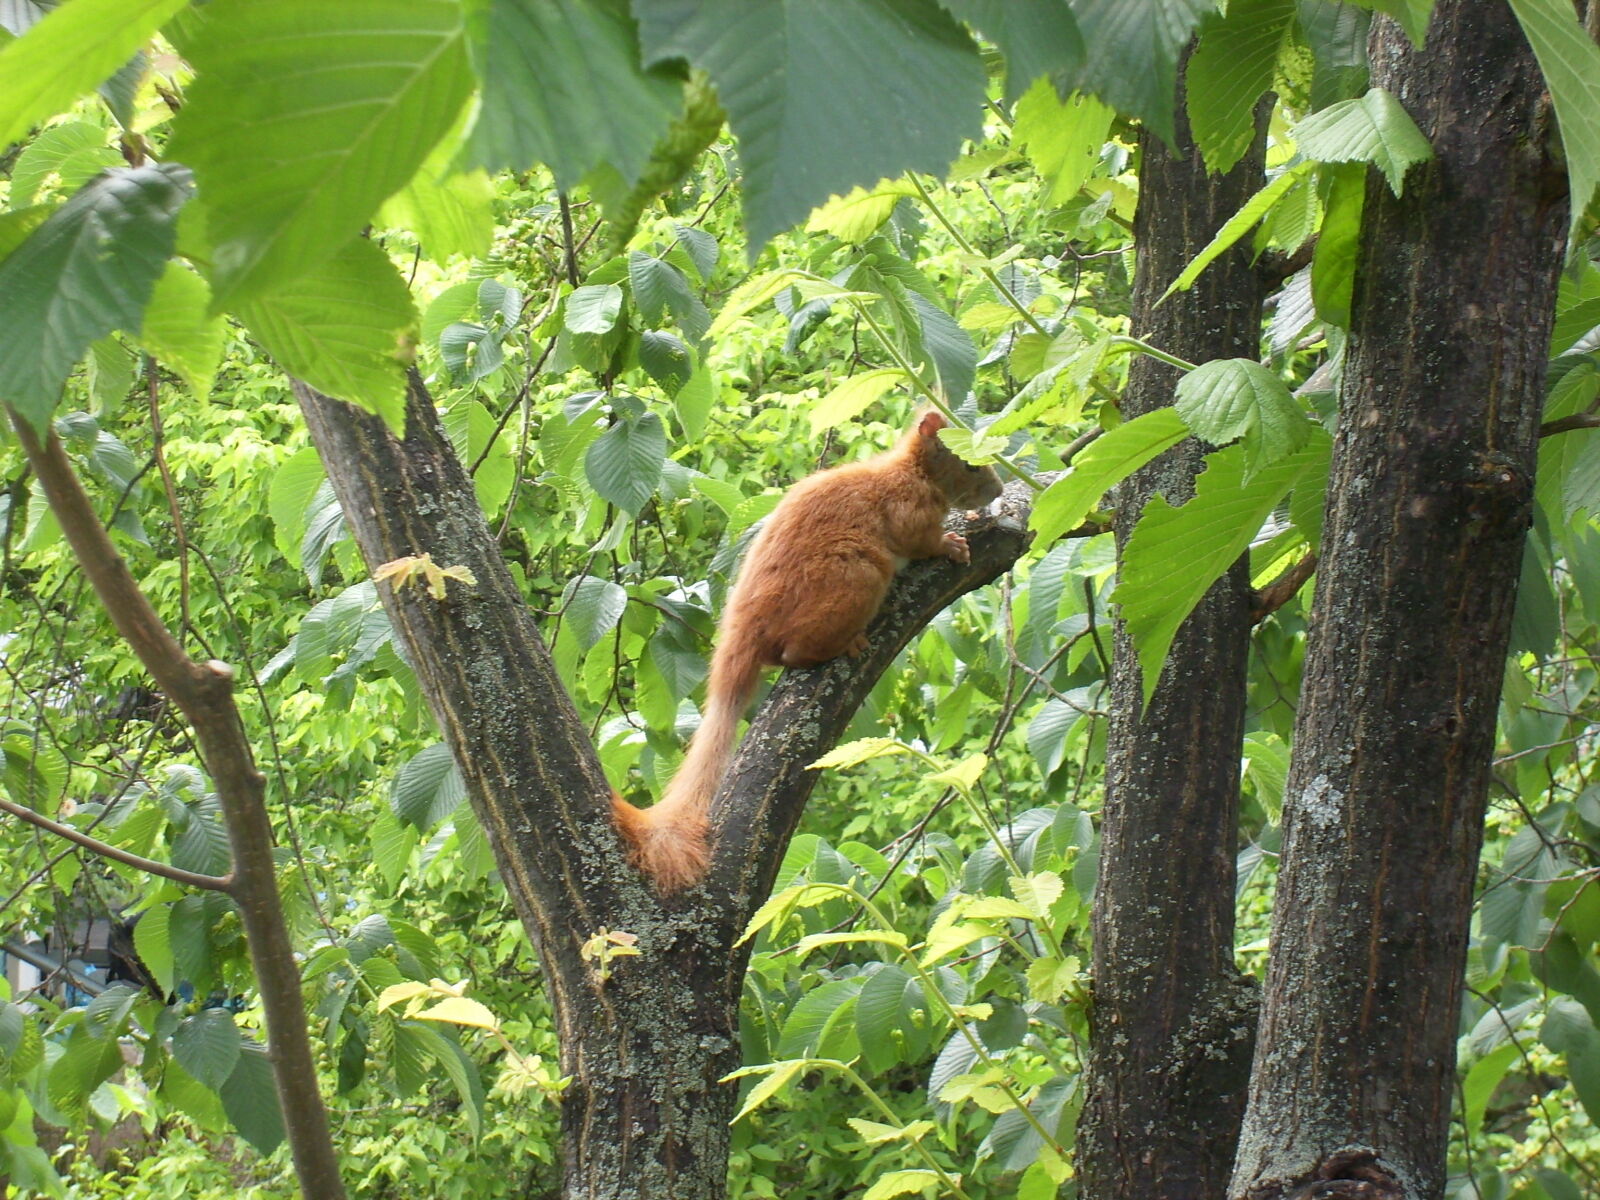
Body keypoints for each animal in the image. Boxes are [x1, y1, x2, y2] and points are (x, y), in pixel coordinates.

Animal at [611, 409, 1004, 893]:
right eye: (969, 464)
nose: (999, 490)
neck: (913, 473)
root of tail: (746, 632)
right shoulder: (908, 511)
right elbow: (920, 540)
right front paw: (952, 544)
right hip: (856, 576)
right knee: (793, 653)